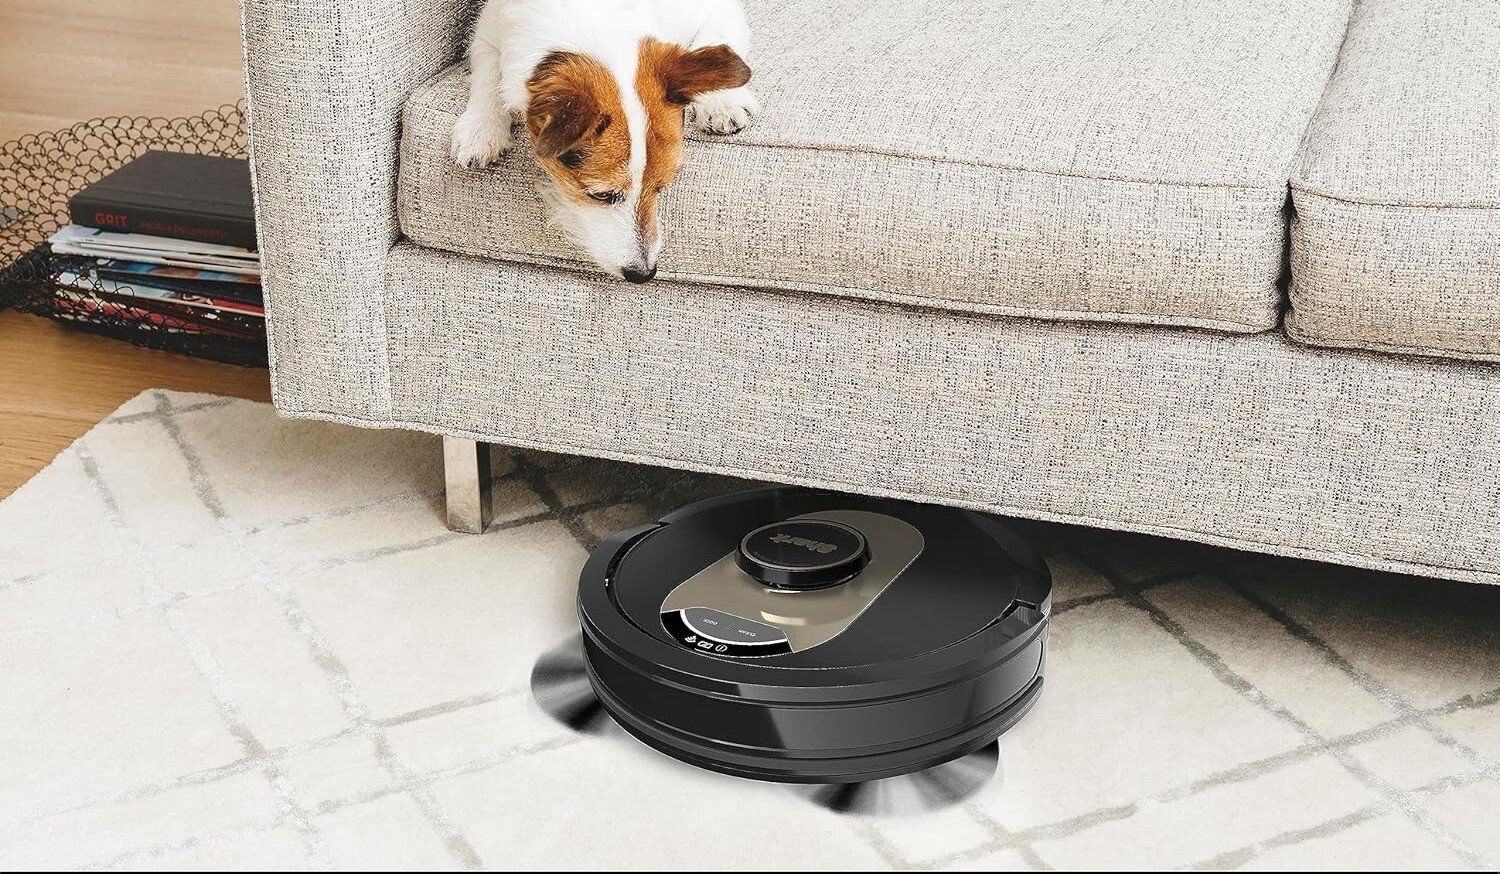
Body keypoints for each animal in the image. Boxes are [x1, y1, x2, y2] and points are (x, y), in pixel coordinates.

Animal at [441, 0, 750, 281]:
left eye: (661, 187)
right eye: (601, 195)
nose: (644, 274)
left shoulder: (717, 8)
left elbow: (719, 34)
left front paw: (724, 102)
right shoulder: (490, 26)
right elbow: (489, 70)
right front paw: (481, 129)